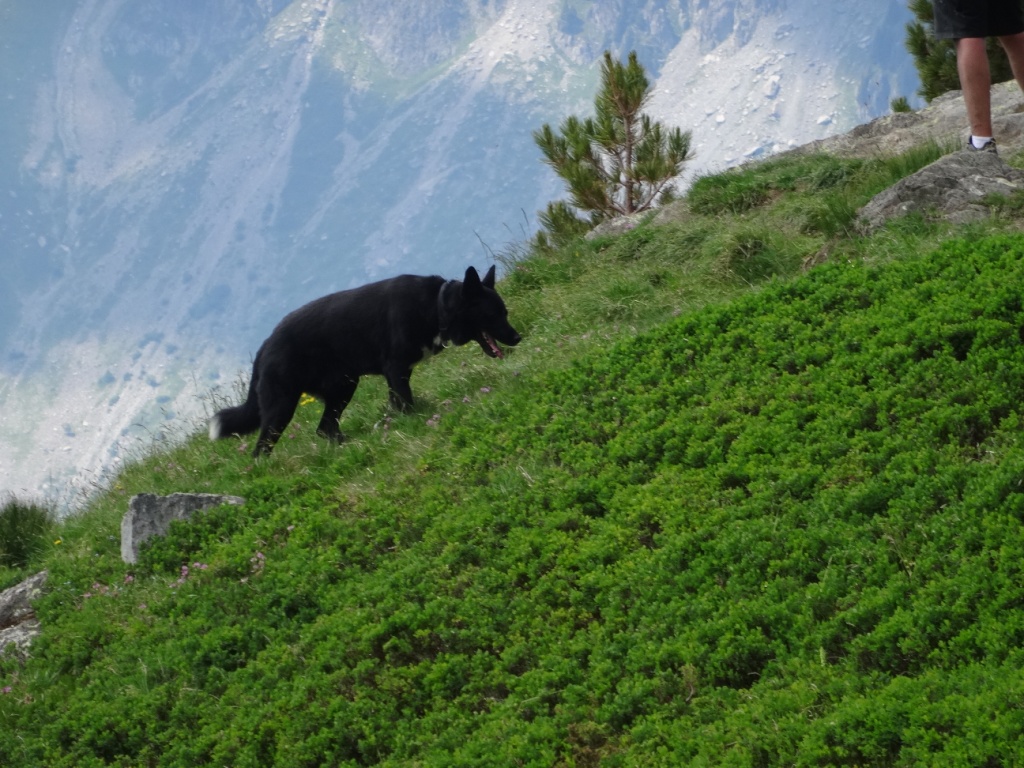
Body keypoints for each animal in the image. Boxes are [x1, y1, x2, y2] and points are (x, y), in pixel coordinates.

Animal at [206, 266, 520, 456]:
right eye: (494, 314)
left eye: (504, 311)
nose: (517, 338)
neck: (436, 307)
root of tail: (264, 347)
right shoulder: (396, 369)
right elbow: (406, 403)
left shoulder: (398, 375)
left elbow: (398, 404)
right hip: (282, 407)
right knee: (262, 447)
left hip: (344, 387)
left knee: (325, 428)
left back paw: (349, 445)